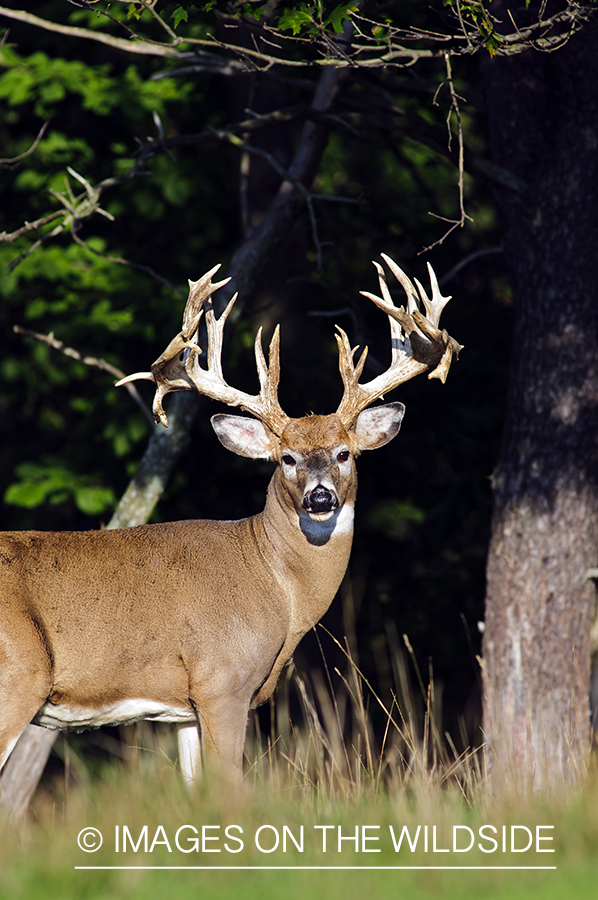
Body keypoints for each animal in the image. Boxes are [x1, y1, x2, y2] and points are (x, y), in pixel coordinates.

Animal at [0, 253, 464, 788]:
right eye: (286, 458)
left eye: (345, 453)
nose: (320, 497)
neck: (276, 586)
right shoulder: (223, 680)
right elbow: (229, 789)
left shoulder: (183, 709)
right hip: (18, 677)